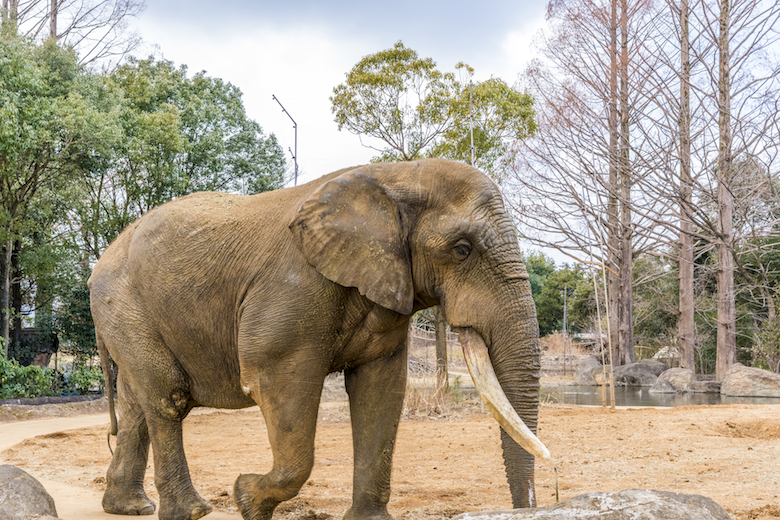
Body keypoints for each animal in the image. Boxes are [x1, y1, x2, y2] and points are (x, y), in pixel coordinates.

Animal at [88, 158, 548, 520]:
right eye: (462, 249)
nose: (526, 507)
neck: (395, 175)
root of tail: (99, 264)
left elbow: (381, 389)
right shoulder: (294, 288)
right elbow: (278, 379)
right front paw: (246, 499)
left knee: (137, 405)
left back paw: (129, 508)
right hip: (124, 304)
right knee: (167, 398)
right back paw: (192, 512)